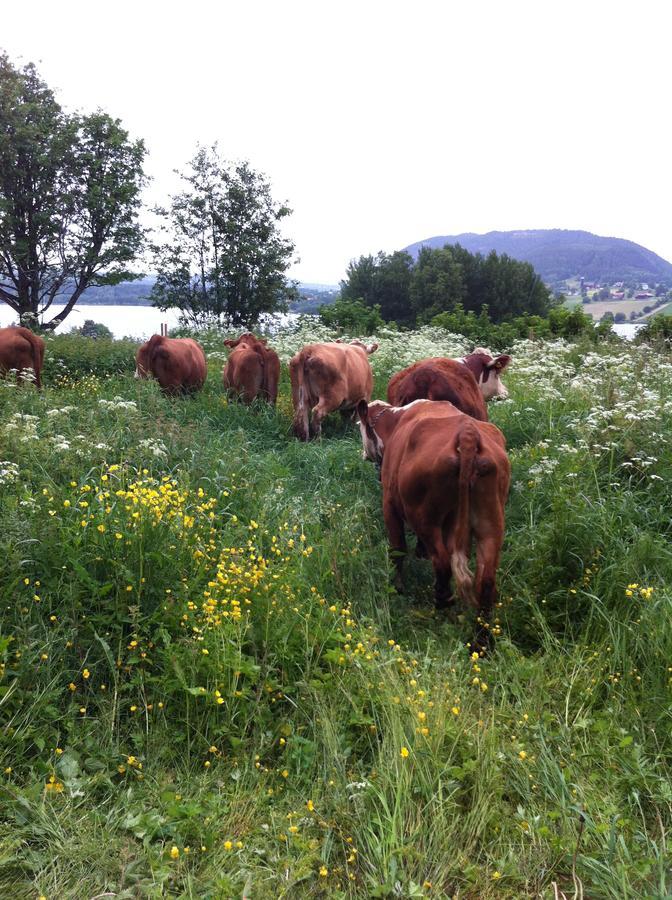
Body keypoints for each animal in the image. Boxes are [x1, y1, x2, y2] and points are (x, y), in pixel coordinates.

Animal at [356, 400, 510, 648]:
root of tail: (467, 434)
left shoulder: (389, 503)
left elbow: (397, 549)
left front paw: (398, 587)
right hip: (491, 524)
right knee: (485, 582)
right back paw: (481, 642)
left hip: (425, 518)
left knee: (443, 562)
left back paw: (442, 599)